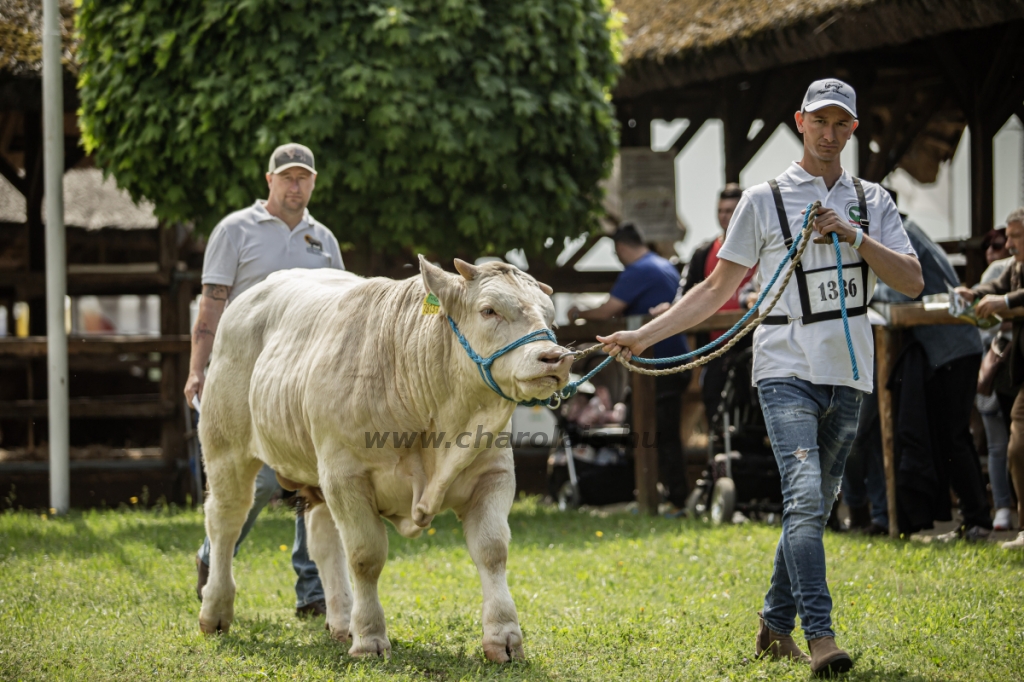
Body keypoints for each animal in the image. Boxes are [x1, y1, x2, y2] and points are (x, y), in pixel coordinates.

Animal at [195, 254, 573, 659]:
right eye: (489, 310)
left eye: (550, 318)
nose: (555, 358)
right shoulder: (346, 476)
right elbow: (366, 555)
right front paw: (370, 638)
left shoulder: (493, 474)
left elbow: (492, 550)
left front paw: (503, 637)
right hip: (226, 448)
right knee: (225, 521)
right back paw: (215, 611)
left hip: (315, 471)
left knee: (323, 540)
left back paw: (341, 619)